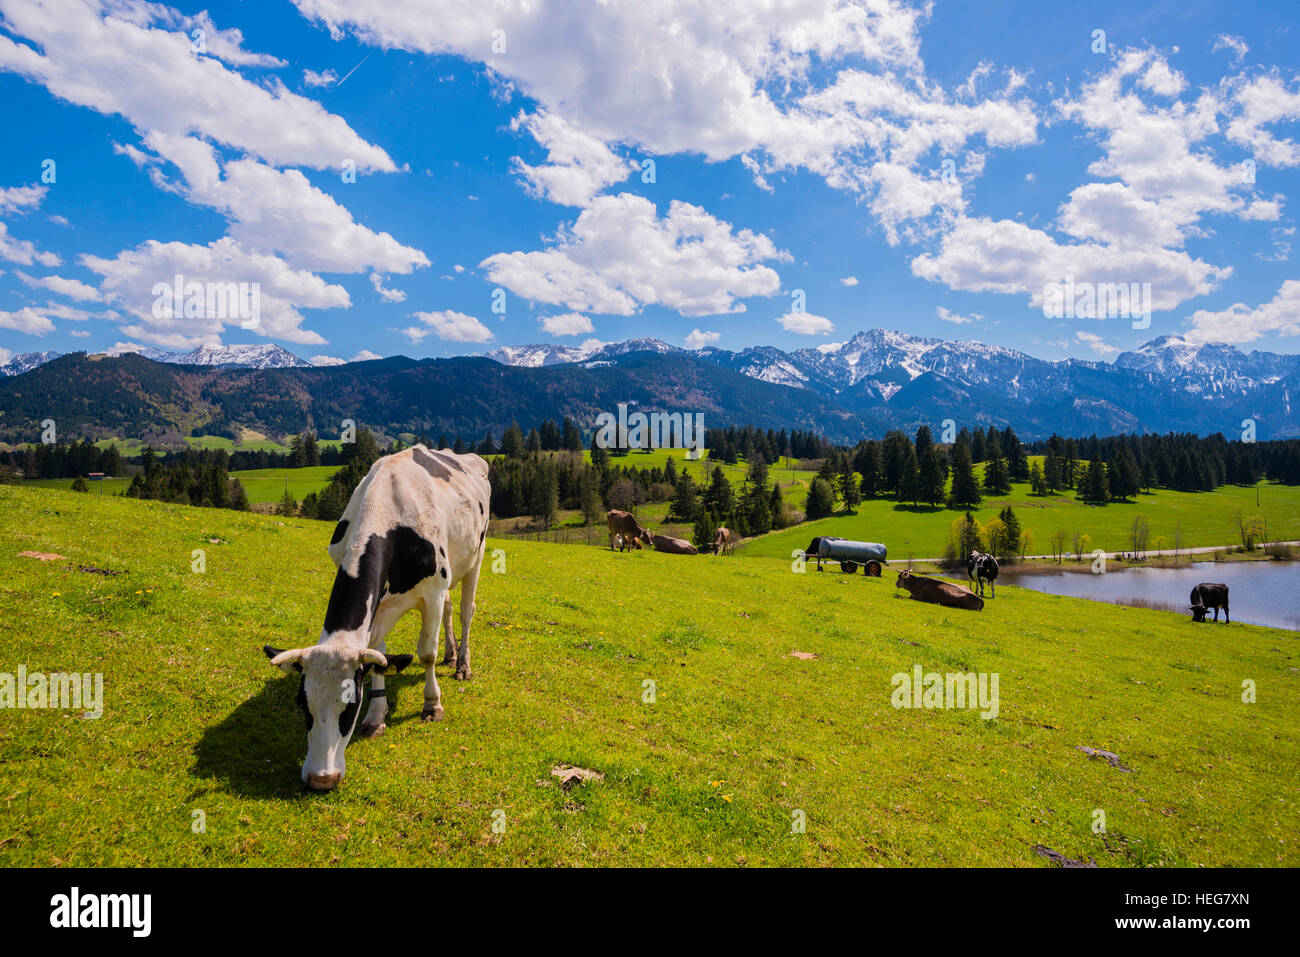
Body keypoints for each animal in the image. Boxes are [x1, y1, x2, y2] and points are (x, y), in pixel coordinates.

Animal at [262, 444, 491, 790]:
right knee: (452, 610)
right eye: (303, 703)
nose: (321, 779)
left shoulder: (433, 592)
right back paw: (451, 655)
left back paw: (462, 664)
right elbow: (378, 658)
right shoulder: (380, 608)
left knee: (466, 611)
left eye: (350, 704)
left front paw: (432, 704)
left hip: (475, 557)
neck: (390, 516)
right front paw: (376, 716)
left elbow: (426, 654)